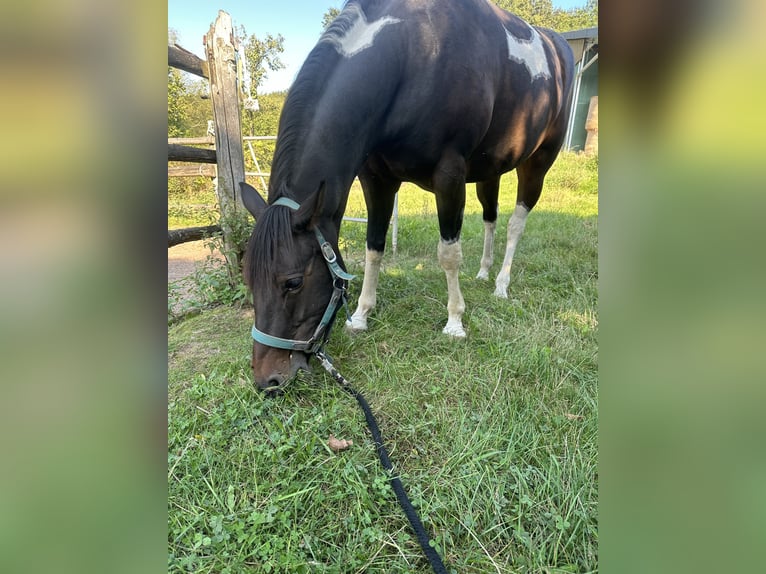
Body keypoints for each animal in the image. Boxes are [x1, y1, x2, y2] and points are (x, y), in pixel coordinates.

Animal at [239, 0, 574, 390]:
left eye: (292, 282)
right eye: (249, 278)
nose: (267, 380)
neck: (416, 52)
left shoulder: (450, 176)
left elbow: (448, 254)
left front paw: (455, 322)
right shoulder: (376, 178)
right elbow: (374, 248)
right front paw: (361, 315)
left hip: (537, 163)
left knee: (515, 225)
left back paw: (501, 285)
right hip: (491, 169)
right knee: (490, 218)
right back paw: (483, 272)